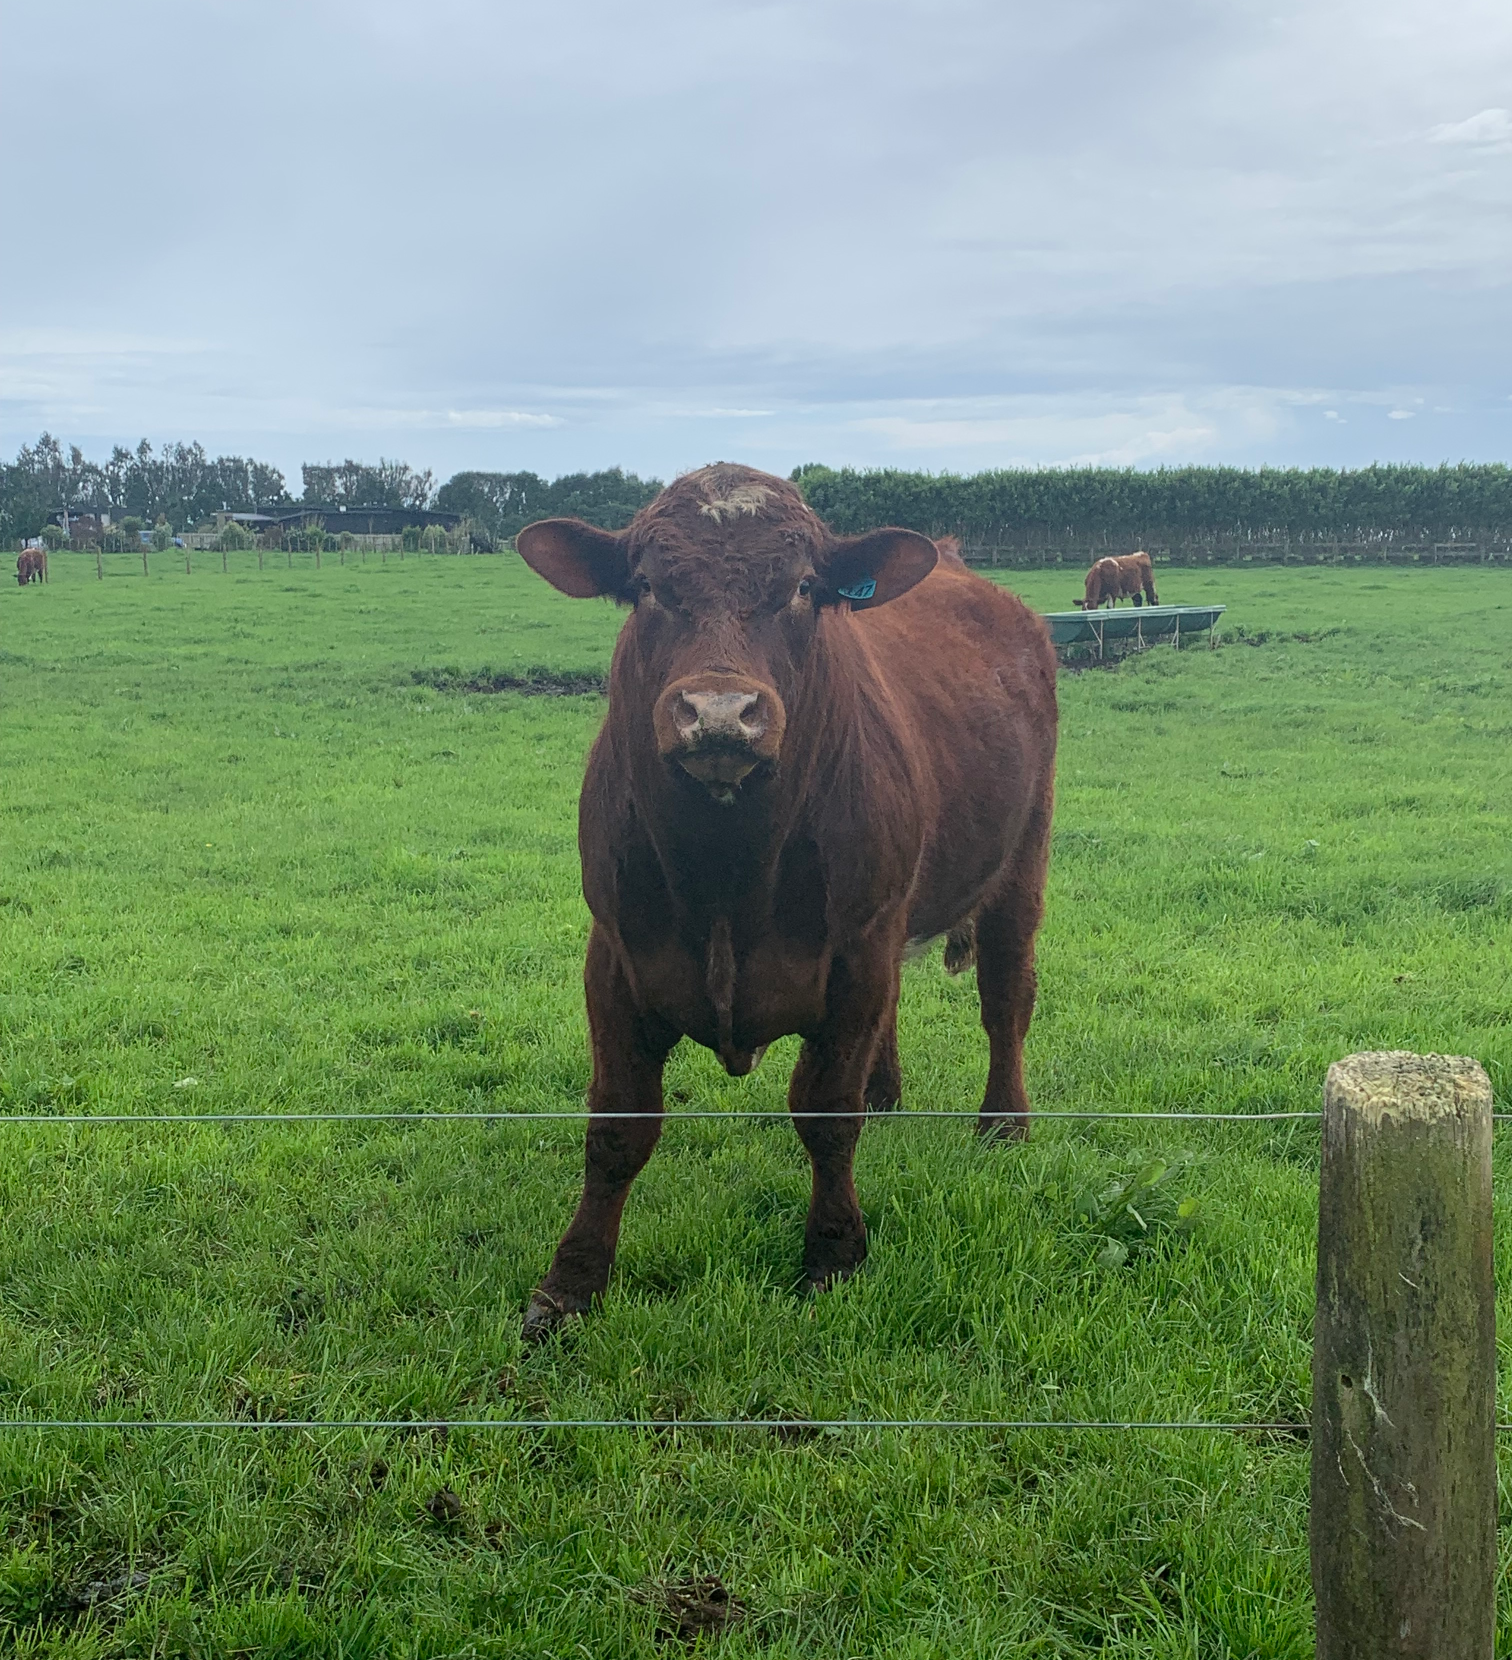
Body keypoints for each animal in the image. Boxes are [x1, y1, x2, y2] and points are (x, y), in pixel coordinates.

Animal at [513, 464, 1058, 1340]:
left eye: (803, 587)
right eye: (646, 587)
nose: (719, 713)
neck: (727, 875)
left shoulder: (855, 952)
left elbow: (827, 1114)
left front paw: (833, 1255)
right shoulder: (617, 955)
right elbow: (619, 1125)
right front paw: (570, 1284)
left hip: (1019, 864)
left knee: (1006, 997)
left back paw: (1003, 1125)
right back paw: (888, 1093)